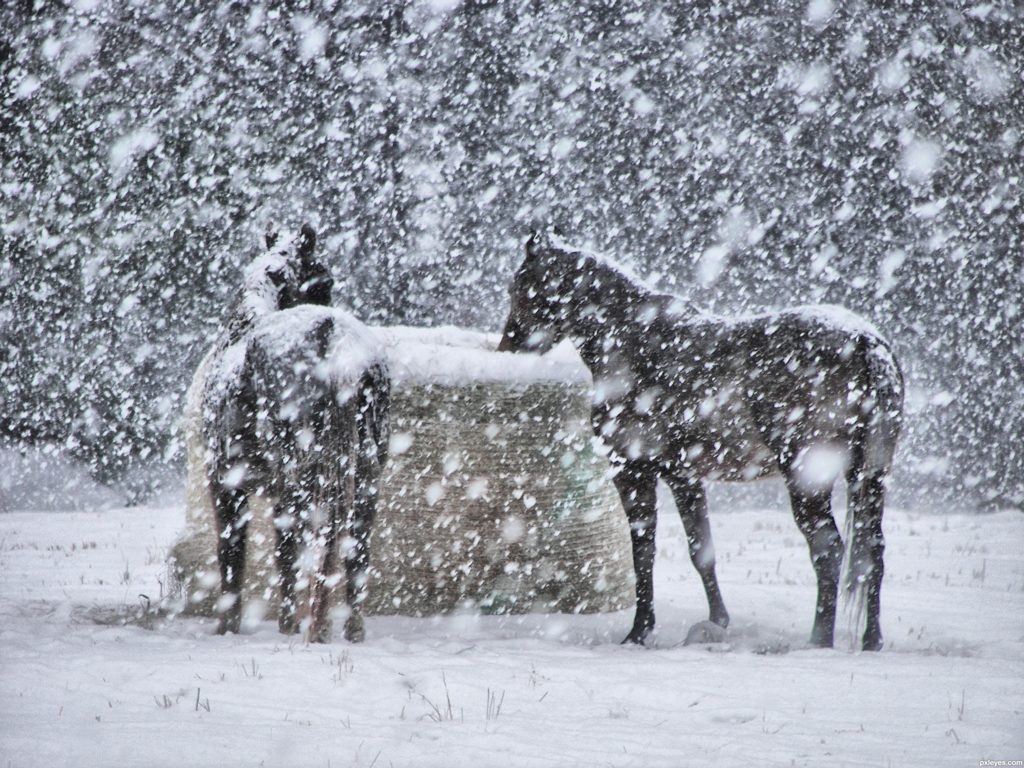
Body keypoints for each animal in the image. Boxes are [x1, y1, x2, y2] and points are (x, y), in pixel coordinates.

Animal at [201, 230, 389, 643]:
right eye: (325, 281)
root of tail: (332, 334)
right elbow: (284, 554)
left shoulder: (226, 485)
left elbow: (233, 554)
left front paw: (229, 625)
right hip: (364, 473)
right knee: (354, 546)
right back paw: (348, 628)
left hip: (301, 471)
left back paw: (315, 625)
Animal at [497, 233, 905, 651]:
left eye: (522, 287)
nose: (508, 347)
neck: (633, 343)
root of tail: (864, 342)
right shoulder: (684, 476)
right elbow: (701, 552)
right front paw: (717, 622)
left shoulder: (634, 472)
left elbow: (643, 552)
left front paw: (639, 632)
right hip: (870, 476)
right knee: (872, 550)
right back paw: (871, 640)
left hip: (808, 478)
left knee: (828, 550)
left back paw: (819, 640)